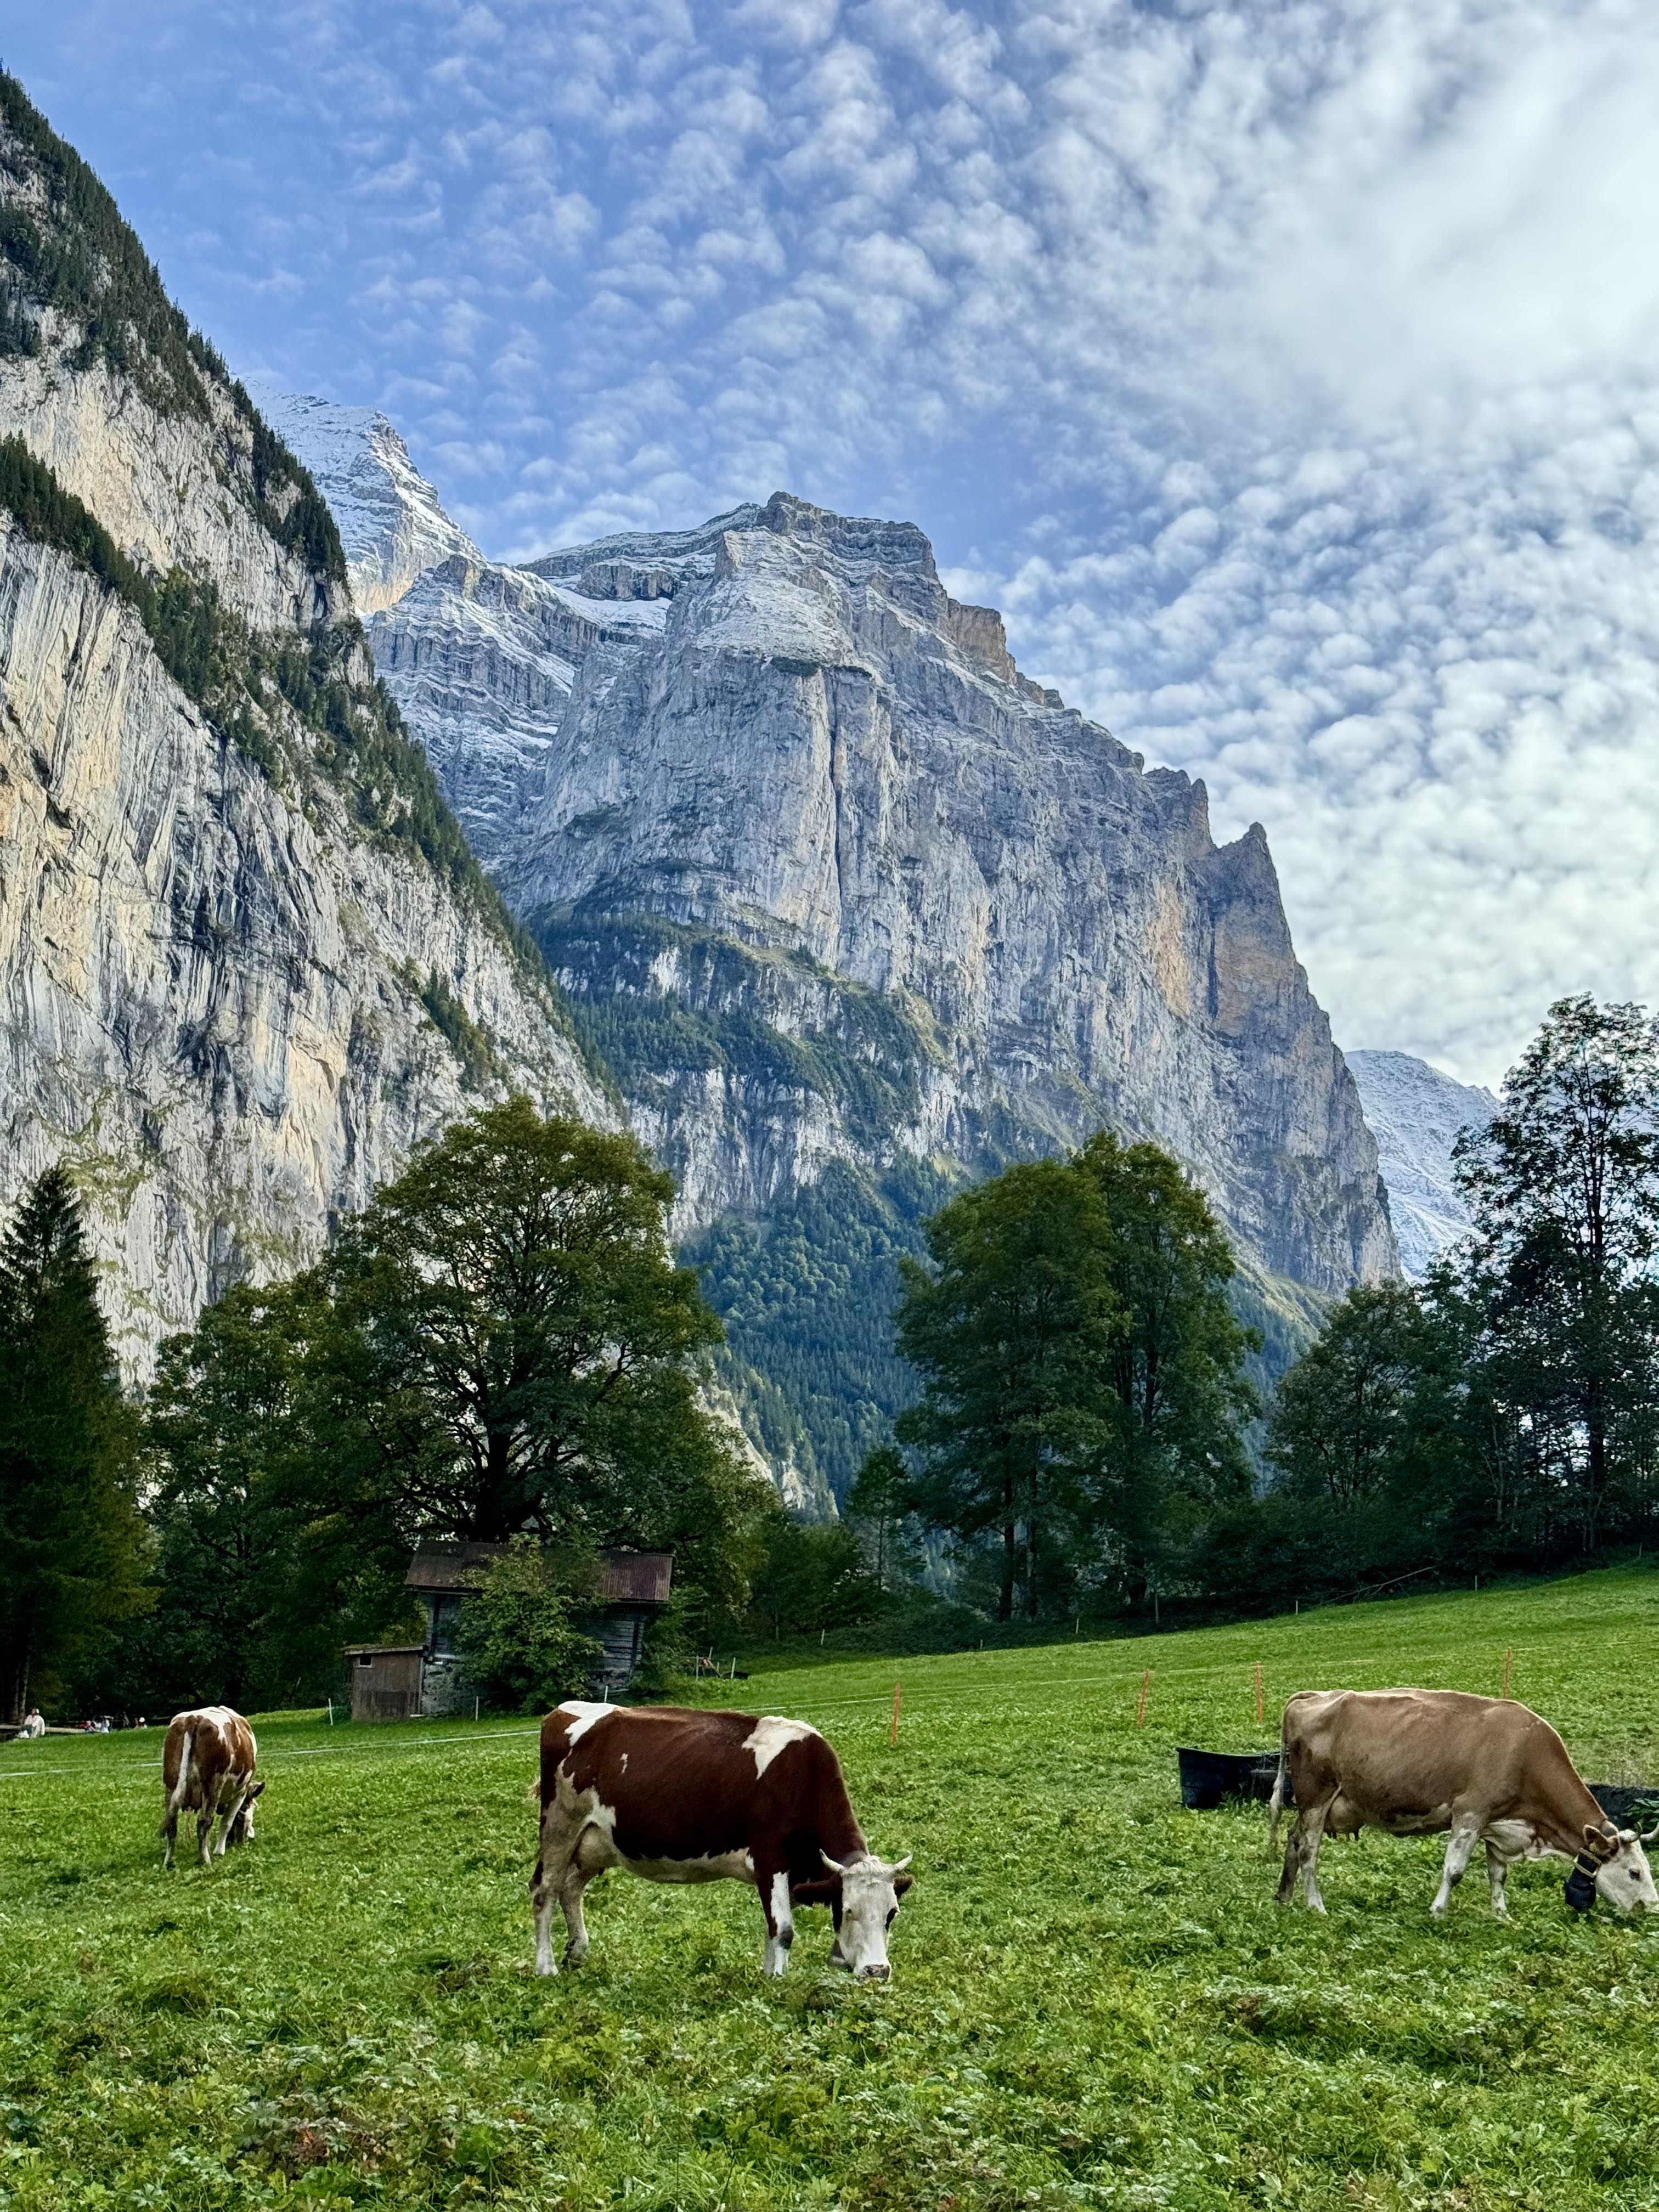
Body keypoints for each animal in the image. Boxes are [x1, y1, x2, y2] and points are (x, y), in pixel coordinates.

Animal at [159, 1707, 263, 1867]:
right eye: (249, 1818)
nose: (249, 1838)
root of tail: (193, 1718)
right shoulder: (240, 1792)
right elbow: (227, 1822)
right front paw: (219, 1851)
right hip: (213, 1784)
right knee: (204, 1821)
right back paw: (204, 1859)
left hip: (171, 1784)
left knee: (172, 1823)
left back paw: (168, 1862)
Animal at [533, 1699, 916, 1982]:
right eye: (848, 1910)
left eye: (892, 1913)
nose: (877, 1971)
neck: (802, 1776)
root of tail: (562, 1710)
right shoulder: (771, 1860)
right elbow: (783, 1930)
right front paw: (778, 1983)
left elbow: (772, 1928)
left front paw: (767, 1976)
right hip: (560, 1826)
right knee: (544, 1891)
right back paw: (546, 1967)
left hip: (596, 1844)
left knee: (570, 1889)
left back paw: (577, 1953)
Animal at [1283, 1690, 1654, 1920]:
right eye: (1634, 1872)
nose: (1652, 1907)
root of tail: (1312, 1696)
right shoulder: (1470, 1815)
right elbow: (1455, 1870)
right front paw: (1438, 1912)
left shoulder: (1498, 1825)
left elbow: (1498, 1874)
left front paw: (1502, 1915)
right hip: (1316, 1798)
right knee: (1309, 1852)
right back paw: (1315, 1905)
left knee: (1294, 1840)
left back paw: (1283, 1895)